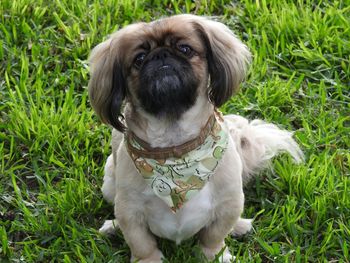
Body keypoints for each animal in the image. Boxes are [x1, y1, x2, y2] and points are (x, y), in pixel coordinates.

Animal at [88, 14, 304, 263]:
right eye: (139, 59)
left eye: (185, 48)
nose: (161, 55)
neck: (175, 149)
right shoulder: (130, 211)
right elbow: (141, 243)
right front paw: (148, 259)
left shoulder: (229, 202)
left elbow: (214, 235)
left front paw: (215, 255)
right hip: (109, 182)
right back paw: (112, 227)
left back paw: (240, 226)